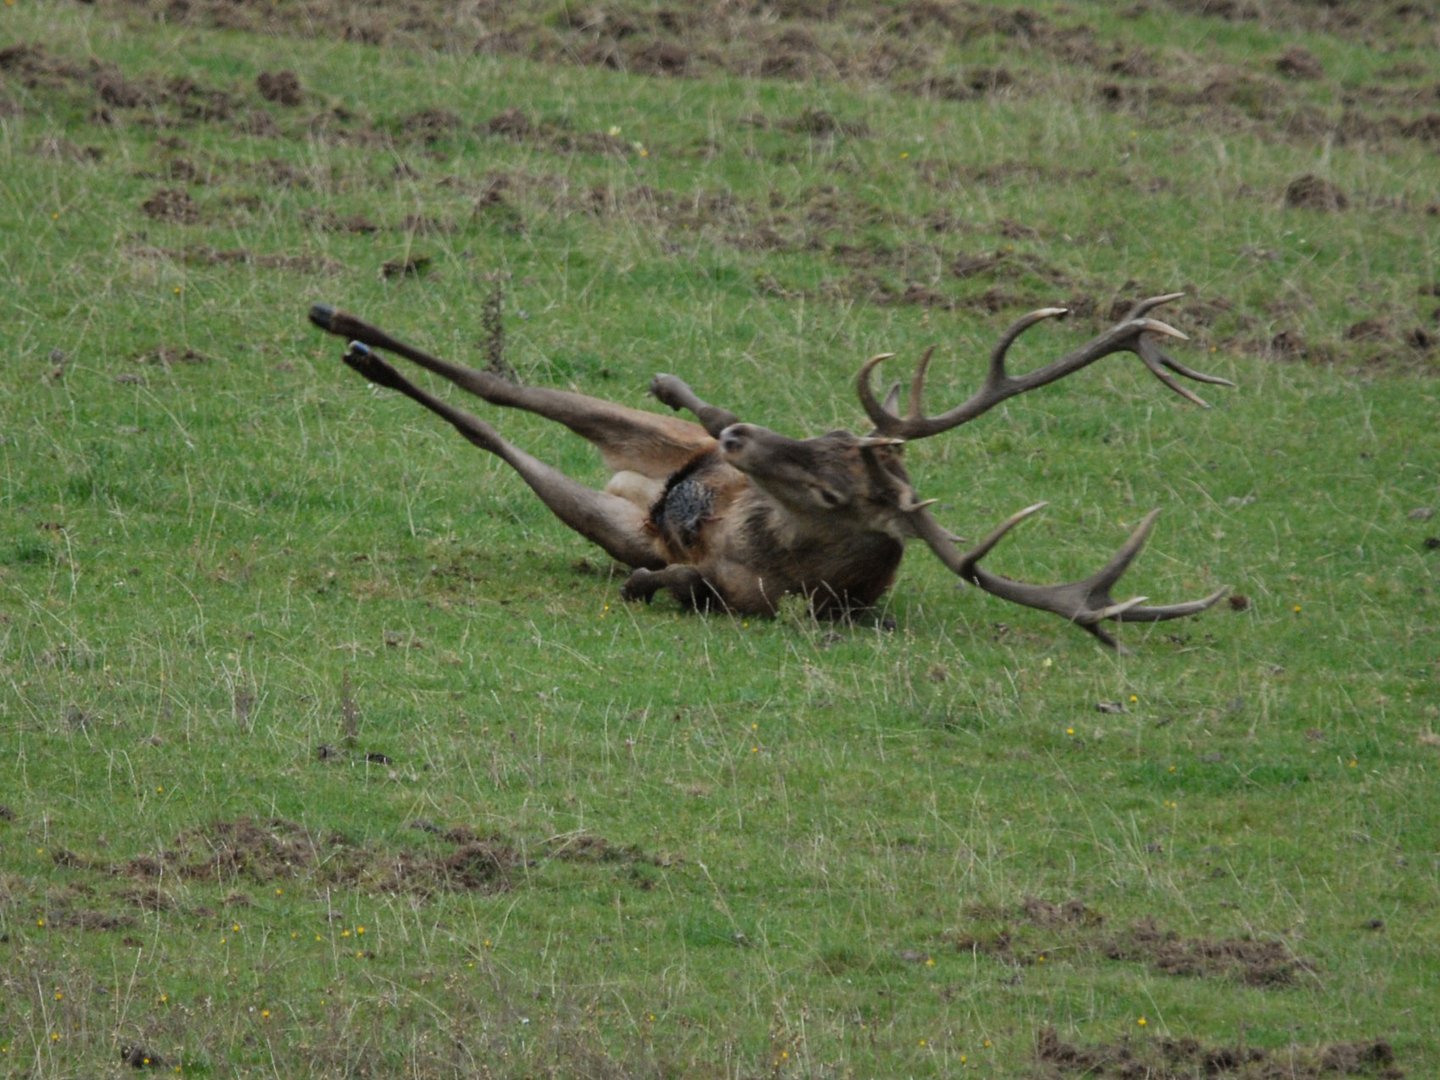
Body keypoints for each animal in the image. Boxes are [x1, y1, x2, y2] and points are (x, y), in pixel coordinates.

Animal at [309, 293, 1232, 650]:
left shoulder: (741, 593)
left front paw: (654, 587)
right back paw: (340, 319)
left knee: (487, 427)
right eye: (830, 430)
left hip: (610, 510)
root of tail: (640, 486)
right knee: (501, 386)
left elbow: (666, 586)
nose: (742, 441)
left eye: (830, 489)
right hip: (650, 441)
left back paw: (363, 355)